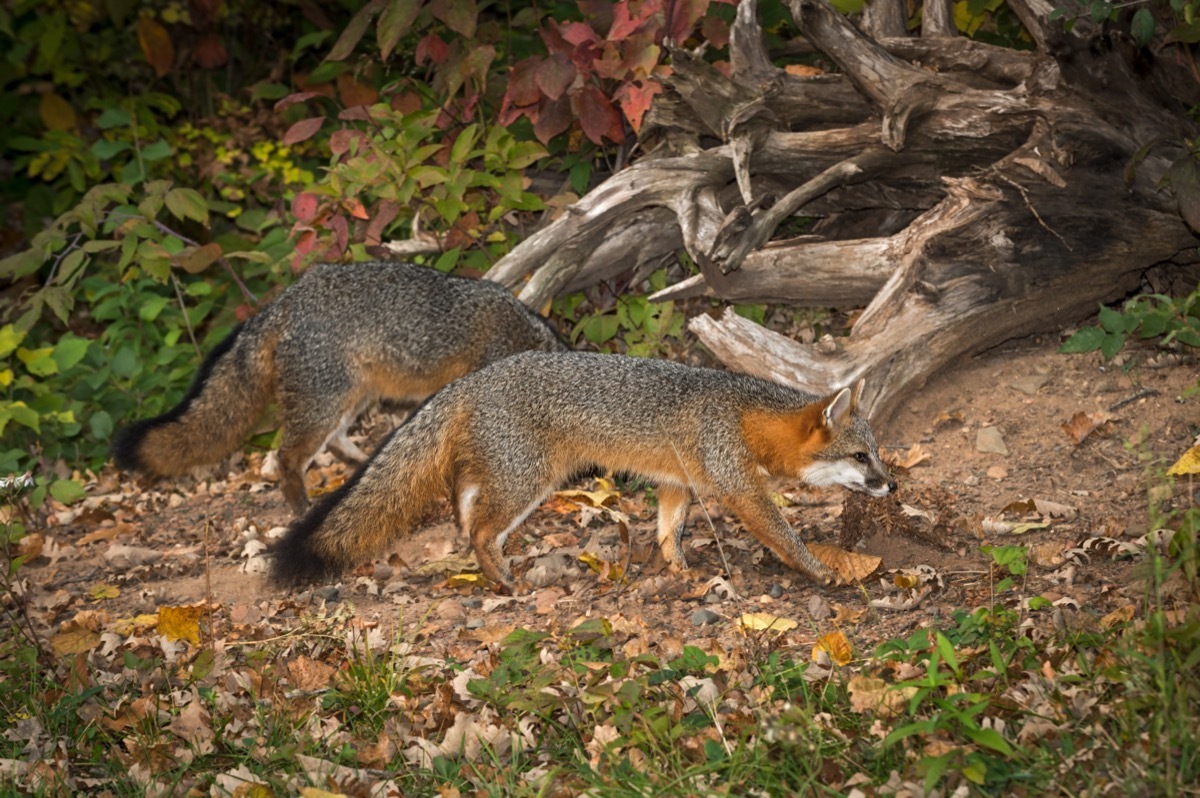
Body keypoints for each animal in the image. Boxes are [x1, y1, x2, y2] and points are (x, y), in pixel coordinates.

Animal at [111, 261, 566, 514]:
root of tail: (285, 300)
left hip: (352, 398)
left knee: (334, 441)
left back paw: (363, 463)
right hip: (324, 404)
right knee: (286, 456)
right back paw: (301, 506)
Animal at [271, 351, 897, 590]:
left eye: (878, 453)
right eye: (861, 457)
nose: (891, 484)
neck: (743, 416)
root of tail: (472, 379)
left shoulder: (676, 484)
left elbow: (667, 531)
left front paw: (679, 569)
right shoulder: (740, 489)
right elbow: (783, 535)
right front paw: (821, 571)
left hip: (504, 475)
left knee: (463, 505)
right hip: (528, 483)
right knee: (479, 530)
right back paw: (504, 580)